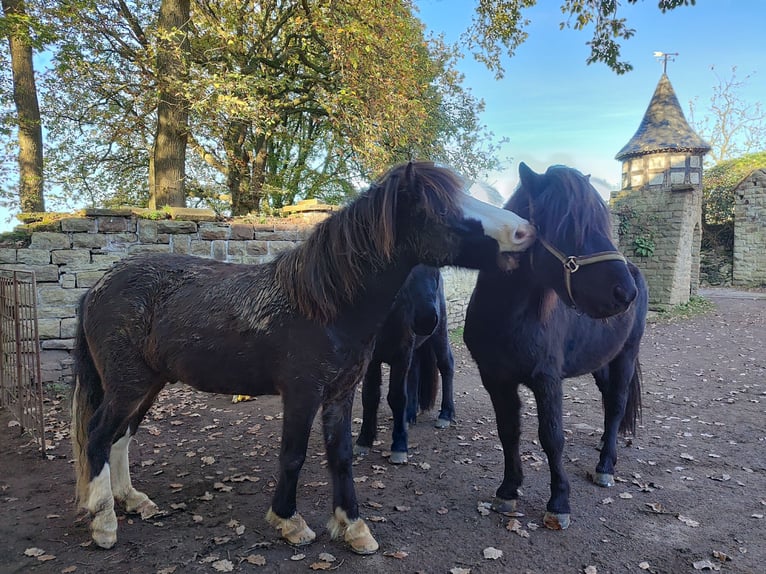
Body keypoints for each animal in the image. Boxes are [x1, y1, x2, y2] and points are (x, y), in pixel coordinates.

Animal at [356, 266, 456, 464]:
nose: (426, 319)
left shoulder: (401, 356)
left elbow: (397, 398)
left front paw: (399, 446)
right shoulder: (372, 360)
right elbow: (370, 396)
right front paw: (364, 440)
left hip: (439, 333)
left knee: (446, 365)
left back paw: (446, 414)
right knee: (414, 373)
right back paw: (409, 416)